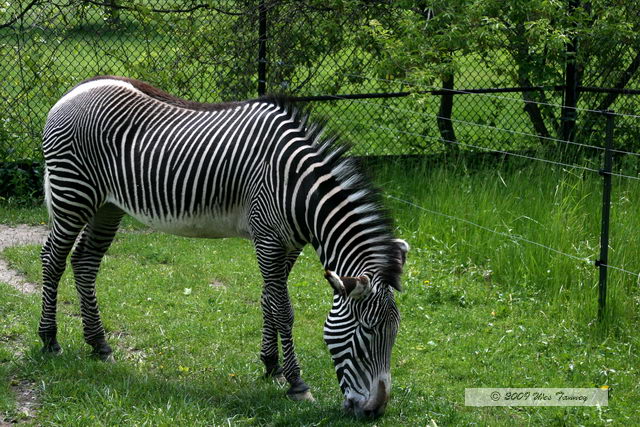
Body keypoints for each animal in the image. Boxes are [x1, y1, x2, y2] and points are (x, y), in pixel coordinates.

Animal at [41, 76, 410, 418]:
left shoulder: (288, 244)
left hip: (106, 205)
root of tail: (74, 91)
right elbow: (284, 310)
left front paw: (270, 365)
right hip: (73, 194)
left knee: (85, 261)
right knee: (52, 258)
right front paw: (296, 383)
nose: (375, 411)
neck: (298, 188)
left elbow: (268, 299)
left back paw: (99, 344)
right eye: (367, 333)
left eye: (395, 334)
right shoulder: (268, 237)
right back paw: (49, 340)